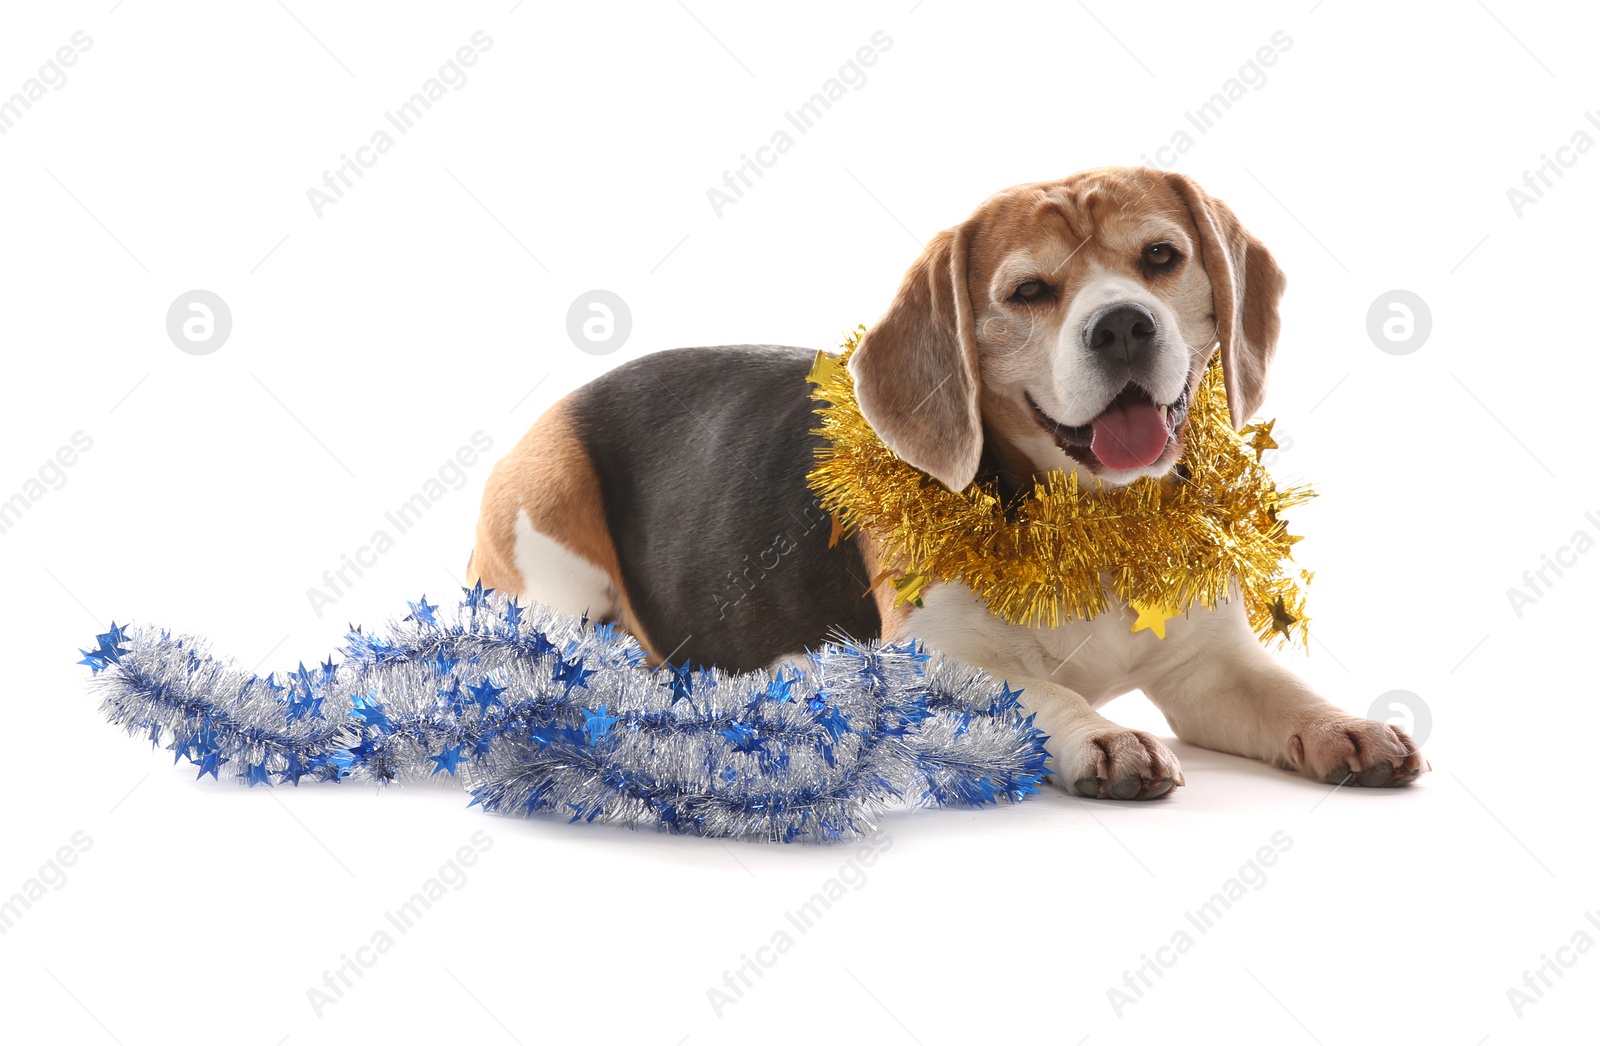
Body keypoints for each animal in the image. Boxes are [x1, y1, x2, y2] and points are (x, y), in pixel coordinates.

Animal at [464, 166, 1427, 802]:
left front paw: (1345, 727)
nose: (1122, 325)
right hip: (552, 540)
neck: (1094, 520)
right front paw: (1104, 736)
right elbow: (1039, 691)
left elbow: (1286, 694)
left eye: (1162, 256)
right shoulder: (932, 659)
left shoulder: (1209, 665)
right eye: (1029, 291)